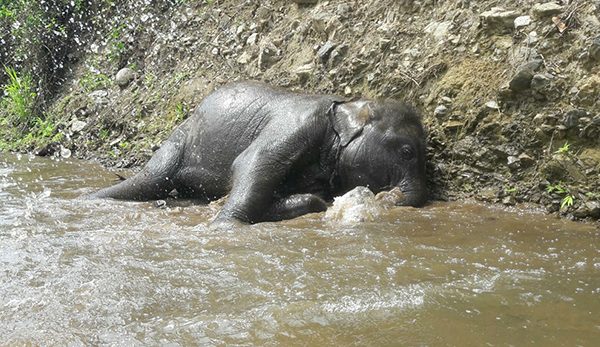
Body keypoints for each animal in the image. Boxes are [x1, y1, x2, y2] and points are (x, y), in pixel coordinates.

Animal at [90, 81, 426, 226]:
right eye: (407, 151)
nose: (387, 195)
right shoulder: (298, 123)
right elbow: (255, 162)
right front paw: (225, 227)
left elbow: (309, 196)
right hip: (181, 138)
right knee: (151, 179)